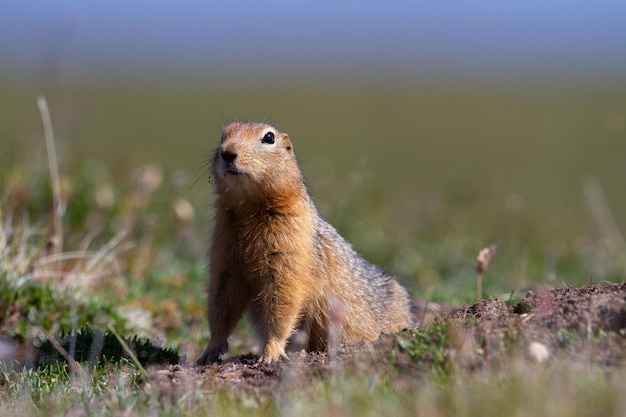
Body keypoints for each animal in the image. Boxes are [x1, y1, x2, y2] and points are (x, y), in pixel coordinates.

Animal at [195, 121, 410, 364]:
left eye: (269, 137)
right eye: (223, 134)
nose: (227, 152)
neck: (248, 208)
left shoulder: (290, 244)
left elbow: (282, 298)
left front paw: (271, 353)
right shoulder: (224, 249)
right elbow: (222, 298)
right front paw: (209, 351)